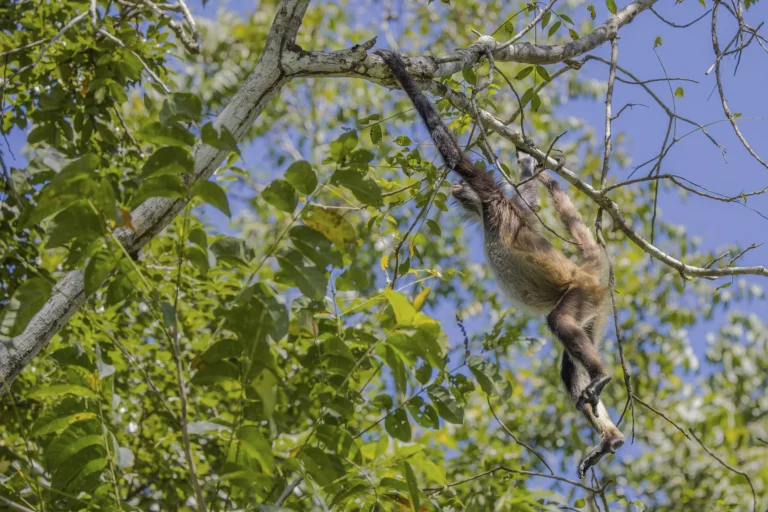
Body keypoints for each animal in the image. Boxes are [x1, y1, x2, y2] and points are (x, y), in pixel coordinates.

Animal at [375, 49, 624, 478]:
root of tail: (587, 272)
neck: (485, 217)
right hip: (594, 314)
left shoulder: (492, 197)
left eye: (461, 185)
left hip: (580, 293)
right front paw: (524, 162)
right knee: (569, 367)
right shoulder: (510, 207)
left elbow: (456, 155)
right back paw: (610, 438)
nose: (454, 189)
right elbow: (529, 200)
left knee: (559, 322)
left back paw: (602, 376)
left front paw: (398, 68)